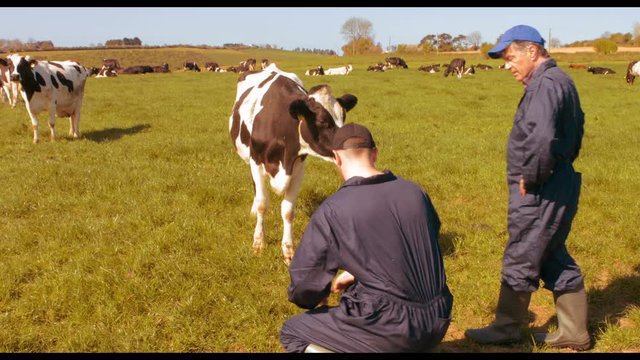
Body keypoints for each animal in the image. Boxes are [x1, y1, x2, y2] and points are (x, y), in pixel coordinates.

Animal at [229, 62, 360, 264]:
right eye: (322, 121)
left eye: (343, 116)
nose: (350, 145)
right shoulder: (256, 161)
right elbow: (262, 203)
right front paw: (258, 243)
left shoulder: (298, 168)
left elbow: (288, 211)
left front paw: (288, 250)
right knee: (256, 190)